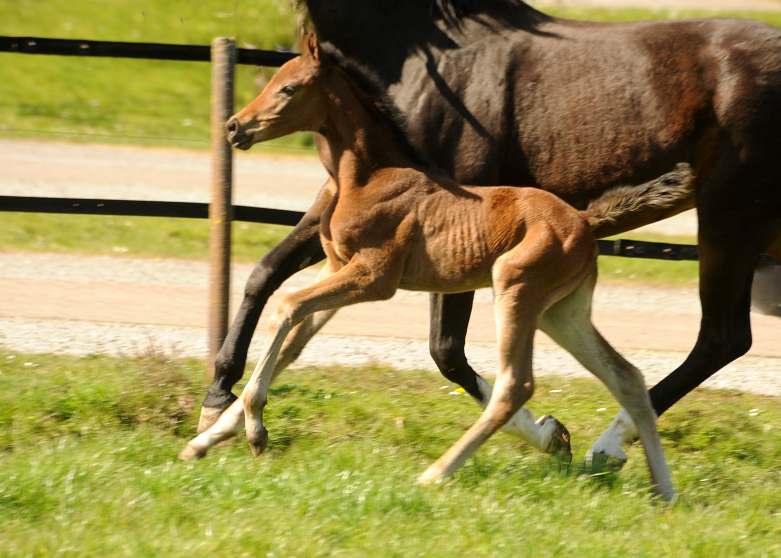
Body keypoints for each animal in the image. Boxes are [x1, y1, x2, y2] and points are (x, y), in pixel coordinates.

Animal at [180, 34, 672, 498]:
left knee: (517, 385)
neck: (366, 179)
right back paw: (663, 492)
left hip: (516, 288)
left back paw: (436, 473)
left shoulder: (373, 277)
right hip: (561, 311)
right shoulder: (334, 268)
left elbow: (284, 307)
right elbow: (290, 345)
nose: (234, 126)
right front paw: (204, 440)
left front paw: (255, 432)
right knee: (627, 377)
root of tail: (586, 221)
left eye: (288, 88)